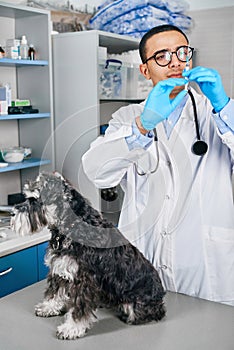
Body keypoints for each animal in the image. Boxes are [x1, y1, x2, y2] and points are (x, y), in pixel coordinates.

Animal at [10, 172, 165, 340]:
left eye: (34, 200)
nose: (11, 213)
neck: (72, 225)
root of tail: (161, 295)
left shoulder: (84, 280)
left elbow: (79, 306)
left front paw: (71, 328)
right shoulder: (60, 267)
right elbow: (55, 291)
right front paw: (48, 307)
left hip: (137, 303)